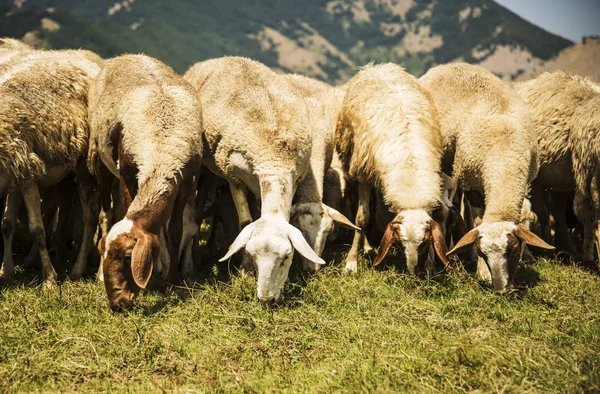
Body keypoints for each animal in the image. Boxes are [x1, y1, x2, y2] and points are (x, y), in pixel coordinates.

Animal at [184, 57, 326, 304]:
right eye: (251, 253)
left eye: (286, 257)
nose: (266, 299)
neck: (274, 159)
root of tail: (218, 59)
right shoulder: (233, 175)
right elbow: (245, 222)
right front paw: (245, 269)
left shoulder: (293, 178)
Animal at [336, 63, 448, 274]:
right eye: (400, 243)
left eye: (424, 243)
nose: (413, 272)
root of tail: (375, 67)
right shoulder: (364, 175)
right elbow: (362, 217)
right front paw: (352, 261)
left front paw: (430, 264)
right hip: (350, 159)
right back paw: (366, 247)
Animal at [418, 61, 552, 290]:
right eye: (484, 252)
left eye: (513, 250)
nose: (501, 288)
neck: (504, 158)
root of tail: (449, 65)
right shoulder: (472, 182)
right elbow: (478, 222)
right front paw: (481, 270)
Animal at [516, 72, 600, 266]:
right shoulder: (588, 175)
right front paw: (589, 258)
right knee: (544, 212)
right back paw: (550, 247)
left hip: (559, 179)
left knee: (556, 211)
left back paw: (567, 249)